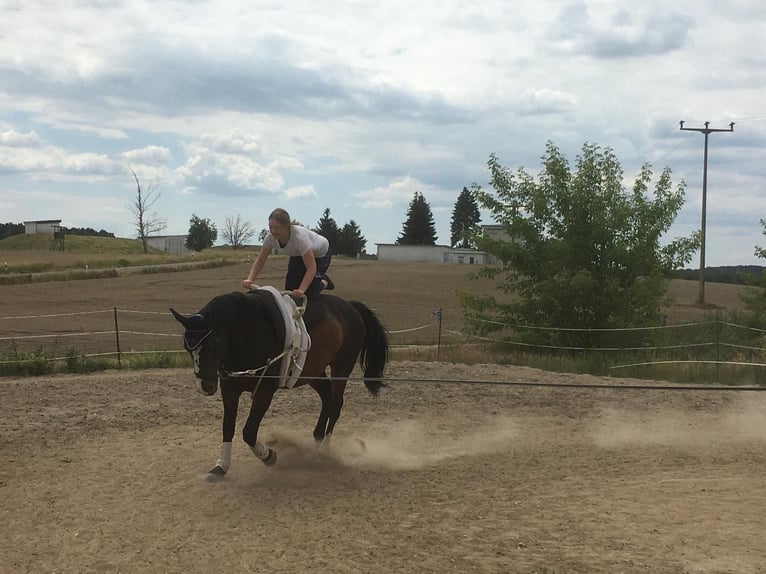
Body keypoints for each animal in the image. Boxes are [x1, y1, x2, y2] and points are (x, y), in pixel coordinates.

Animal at [173, 290, 390, 480]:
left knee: (336, 404)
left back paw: (324, 453)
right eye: (187, 348)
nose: (205, 386)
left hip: (342, 367)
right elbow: (228, 427)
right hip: (313, 373)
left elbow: (249, 431)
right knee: (327, 397)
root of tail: (350, 306)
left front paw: (268, 456)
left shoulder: (265, 392)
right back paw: (317, 441)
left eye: (213, 344)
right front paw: (221, 467)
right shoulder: (229, 389)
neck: (248, 335)